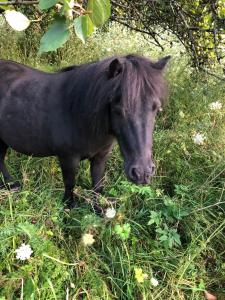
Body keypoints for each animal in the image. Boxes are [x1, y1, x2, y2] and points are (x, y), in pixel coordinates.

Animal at [0, 55, 169, 211]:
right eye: (119, 109)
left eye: (156, 107)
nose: (142, 173)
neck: (77, 111)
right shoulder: (68, 158)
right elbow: (70, 183)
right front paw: (68, 208)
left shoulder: (100, 156)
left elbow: (97, 184)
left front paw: (98, 210)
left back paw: (10, 185)